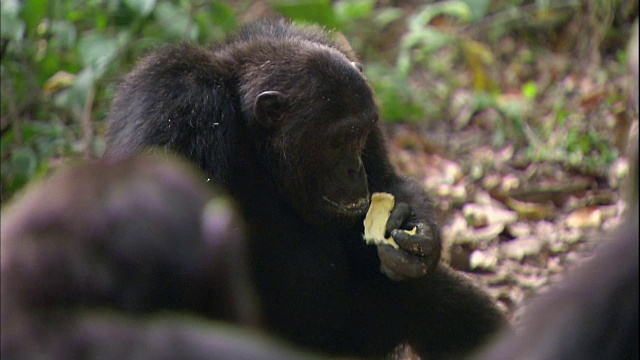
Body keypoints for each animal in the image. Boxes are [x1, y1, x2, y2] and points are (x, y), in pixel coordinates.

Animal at [105, 20, 508, 360]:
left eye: (361, 133)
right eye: (337, 140)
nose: (353, 168)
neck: (251, 133)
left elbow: (386, 181)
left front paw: (415, 232)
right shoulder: (173, 107)